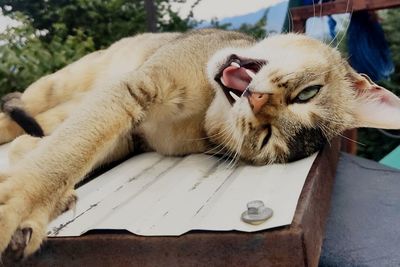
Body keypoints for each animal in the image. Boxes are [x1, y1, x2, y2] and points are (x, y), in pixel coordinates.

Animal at [0, 28, 400, 260]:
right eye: (308, 93)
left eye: (266, 137)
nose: (258, 102)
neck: (203, 109)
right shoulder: (133, 88)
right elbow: (66, 153)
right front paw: (14, 208)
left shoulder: (128, 138)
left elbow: (65, 149)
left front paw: (30, 212)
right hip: (60, 84)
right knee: (25, 110)